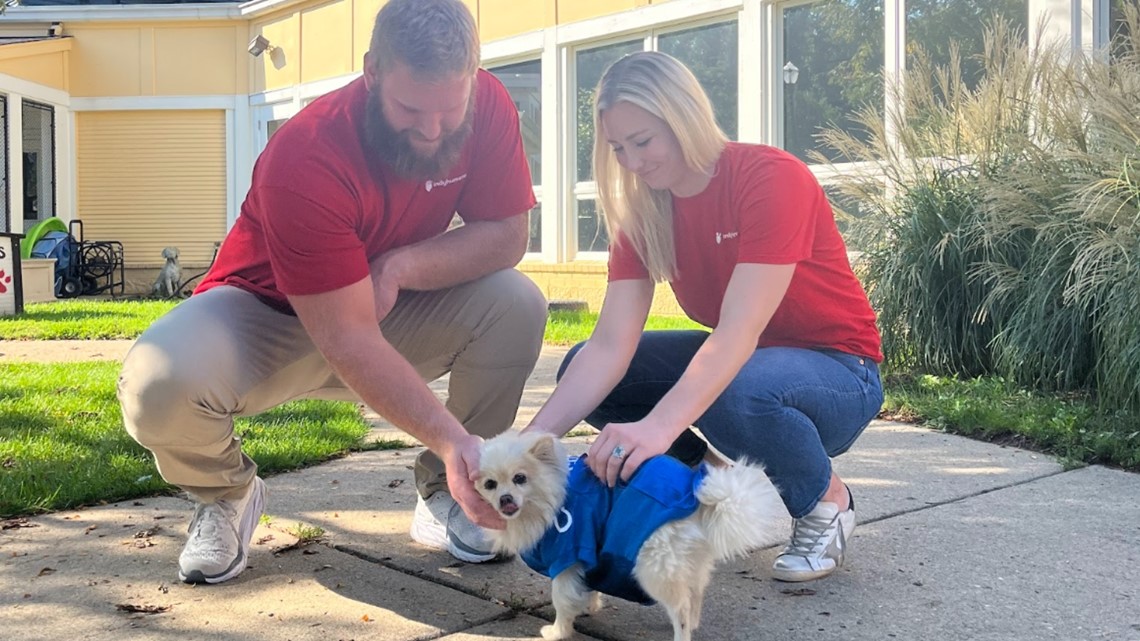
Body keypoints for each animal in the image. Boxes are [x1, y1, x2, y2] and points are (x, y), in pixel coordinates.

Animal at [476, 428, 788, 638]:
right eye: (490, 484)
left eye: (520, 478)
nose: (505, 499)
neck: (552, 498)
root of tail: (698, 499)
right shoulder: (591, 552)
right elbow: (587, 586)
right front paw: (588, 606)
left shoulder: (568, 554)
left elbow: (561, 599)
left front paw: (558, 631)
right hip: (689, 562)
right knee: (695, 594)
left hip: (652, 567)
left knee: (681, 608)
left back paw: (681, 632)